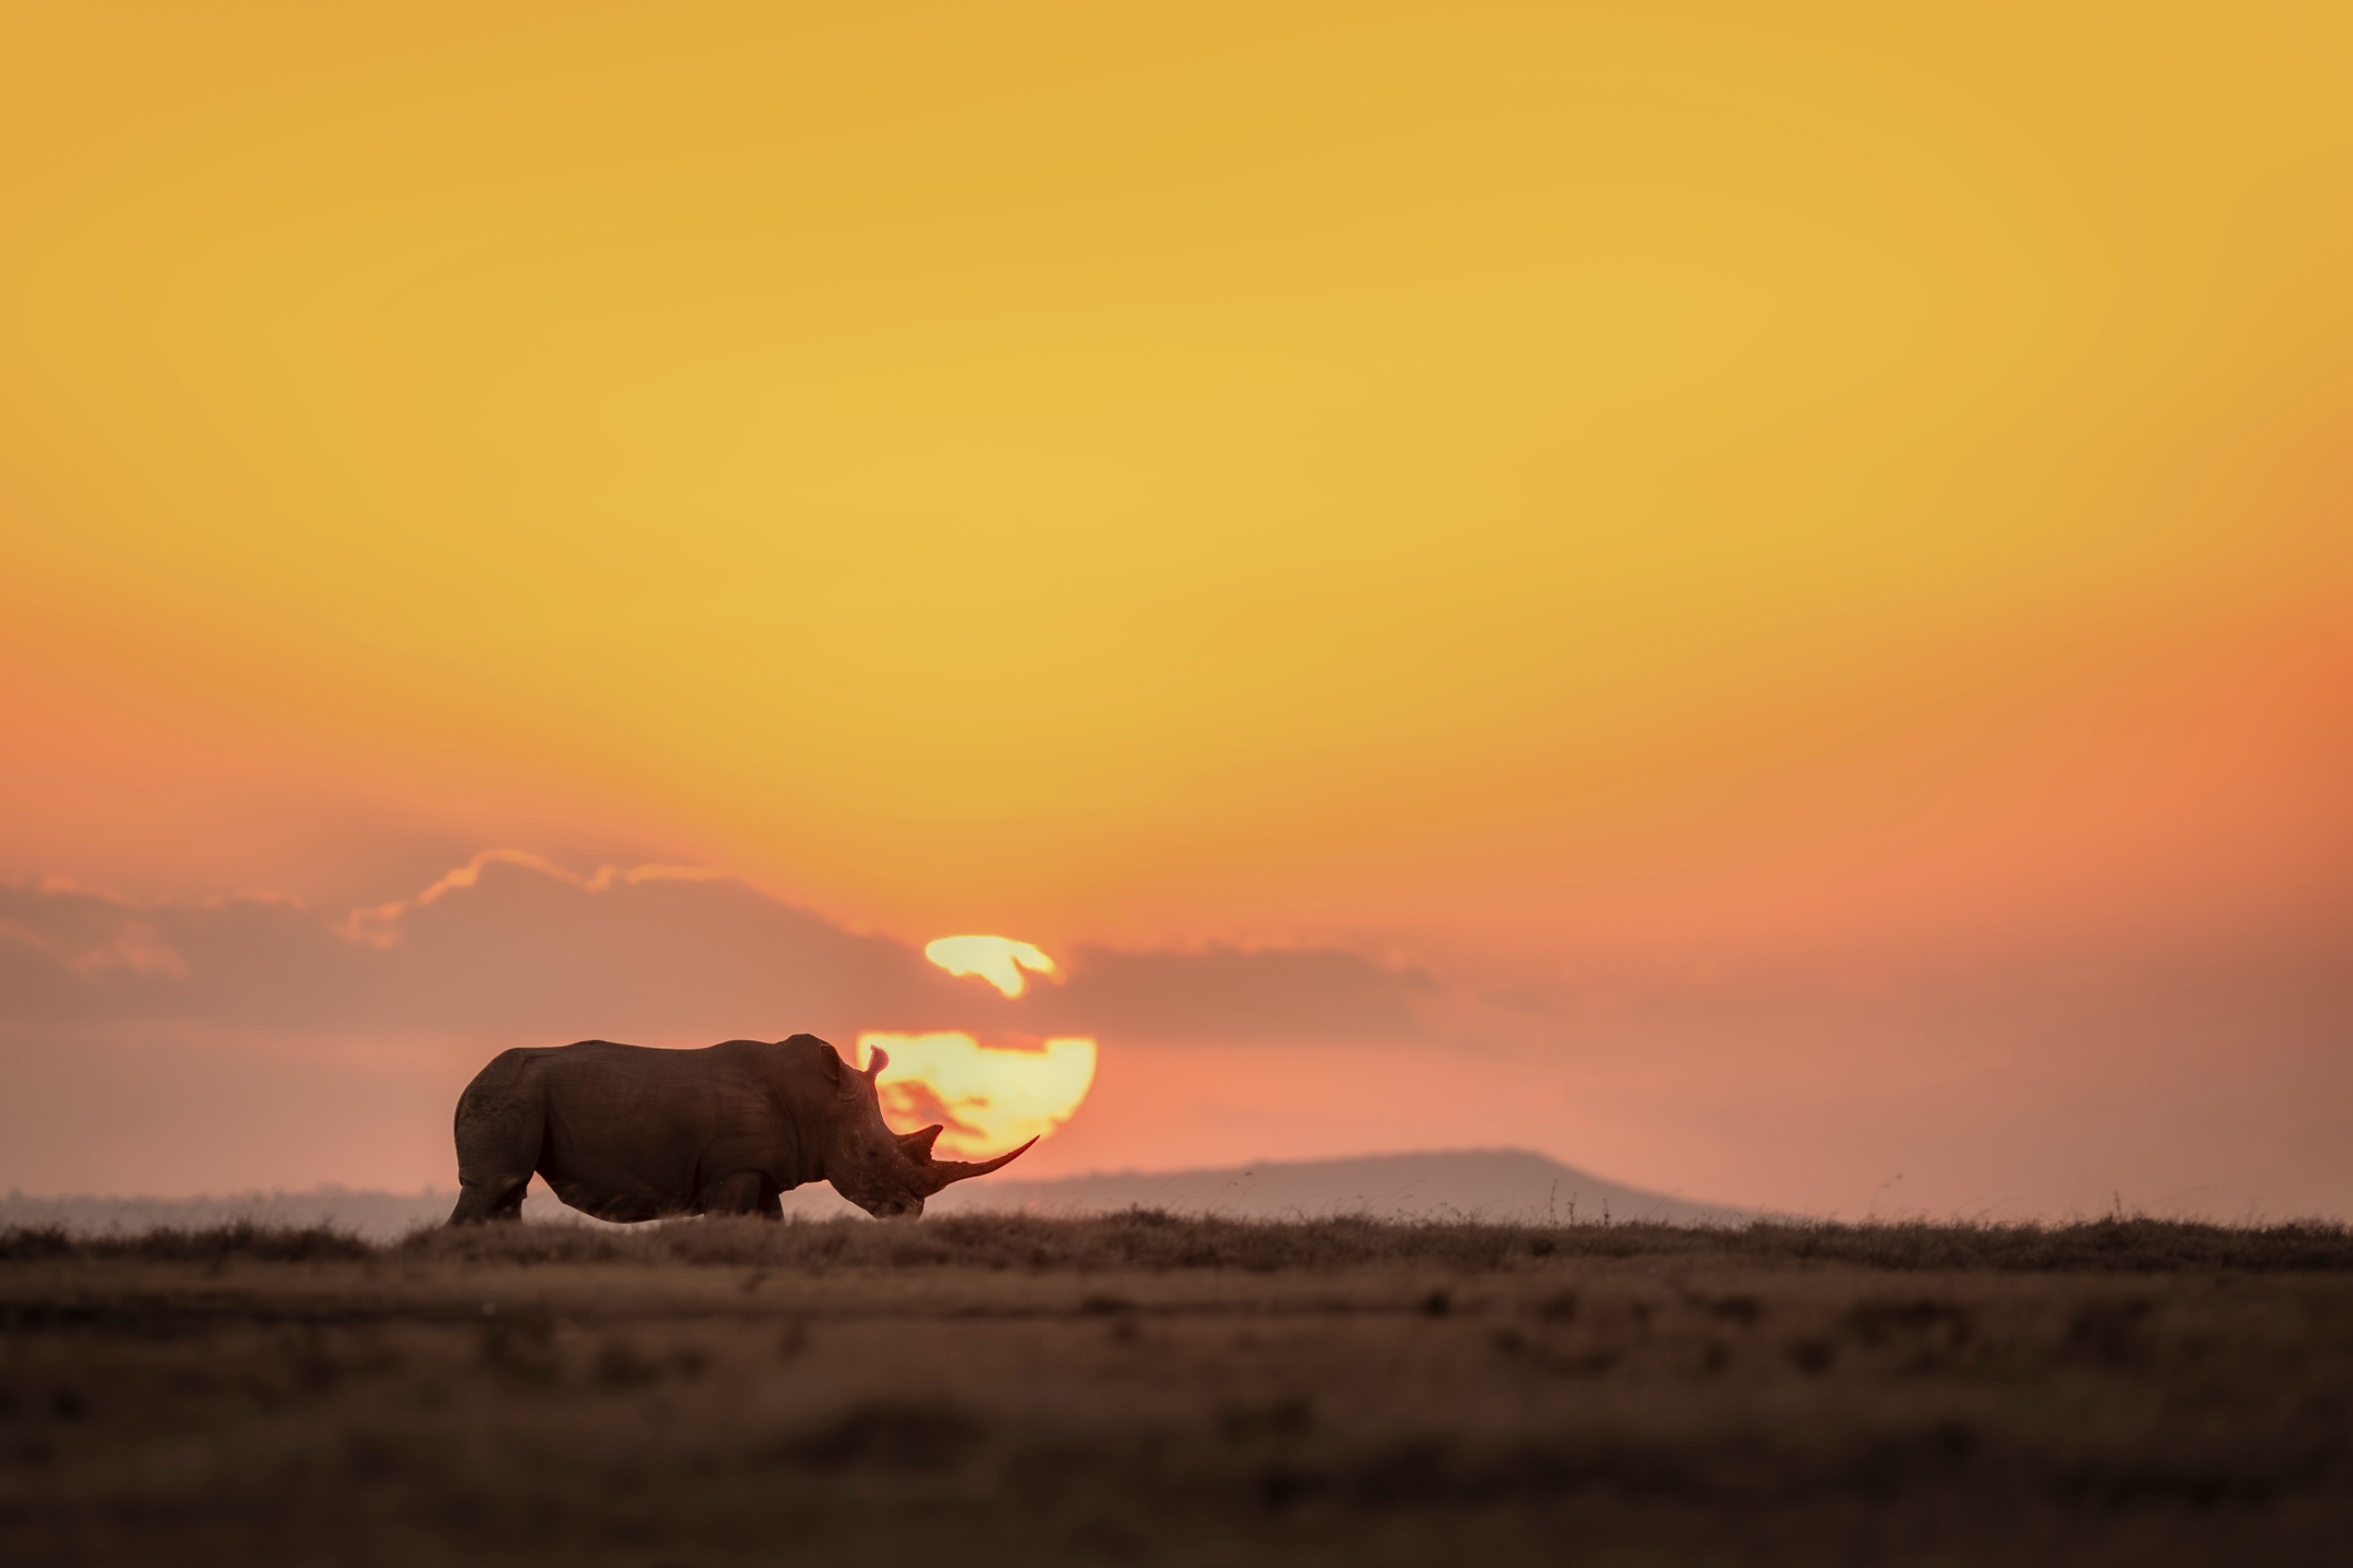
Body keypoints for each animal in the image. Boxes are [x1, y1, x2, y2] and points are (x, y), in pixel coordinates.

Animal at [447, 1035, 1032, 1223]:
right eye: (869, 1156)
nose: (908, 1213)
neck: (819, 1103)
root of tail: (473, 1079)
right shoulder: (734, 1169)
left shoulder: (761, 1172)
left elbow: (769, 1226)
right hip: (507, 1094)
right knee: (494, 1186)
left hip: (512, 1094)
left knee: (508, 1194)